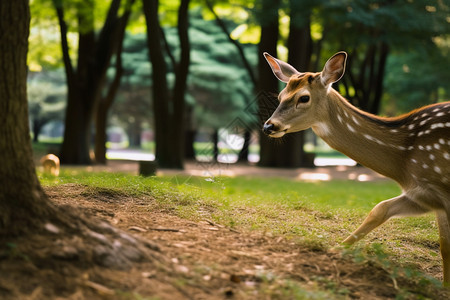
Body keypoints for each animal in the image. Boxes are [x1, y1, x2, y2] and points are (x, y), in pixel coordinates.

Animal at [262, 51, 450, 284]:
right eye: (280, 96)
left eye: (304, 97)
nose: (269, 126)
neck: (405, 163)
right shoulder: (424, 195)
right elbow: (382, 210)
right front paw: (335, 249)